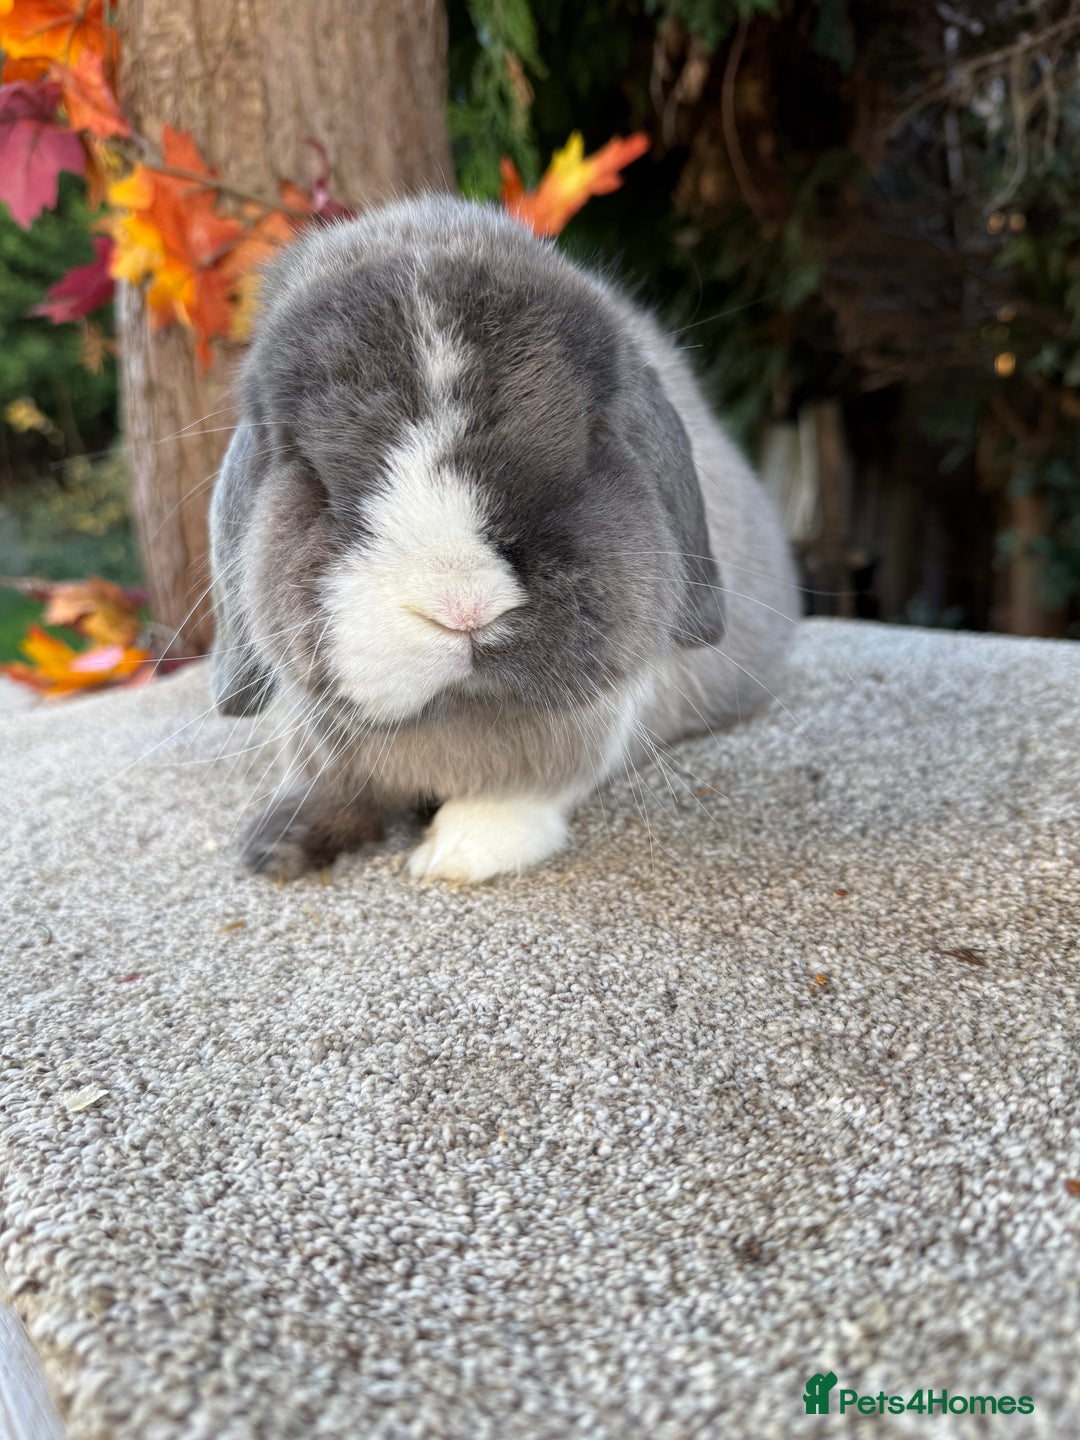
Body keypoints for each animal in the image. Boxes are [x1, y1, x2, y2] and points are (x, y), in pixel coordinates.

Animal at [209, 195, 800, 884]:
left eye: (589, 438)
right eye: (310, 468)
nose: (463, 606)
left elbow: (524, 790)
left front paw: (457, 854)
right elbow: (336, 786)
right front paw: (276, 846)